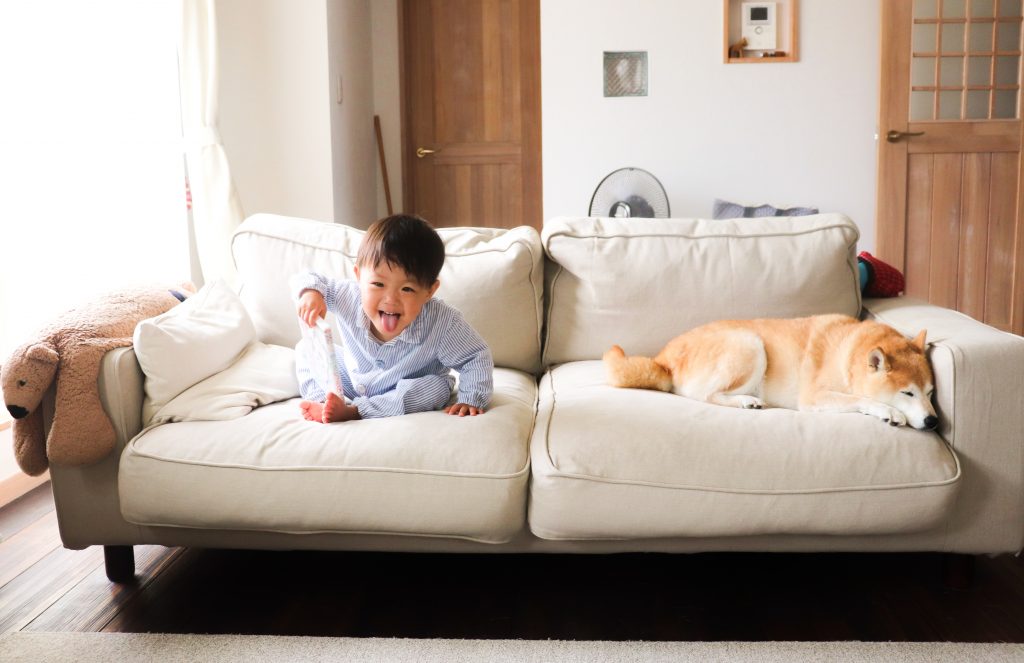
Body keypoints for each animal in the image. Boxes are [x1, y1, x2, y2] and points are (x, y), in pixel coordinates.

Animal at [602, 315, 937, 432]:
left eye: (931, 393)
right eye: (907, 393)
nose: (933, 421)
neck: (848, 354)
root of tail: (664, 358)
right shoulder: (813, 398)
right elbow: (862, 399)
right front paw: (888, 411)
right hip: (750, 344)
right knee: (709, 396)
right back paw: (745, 401)